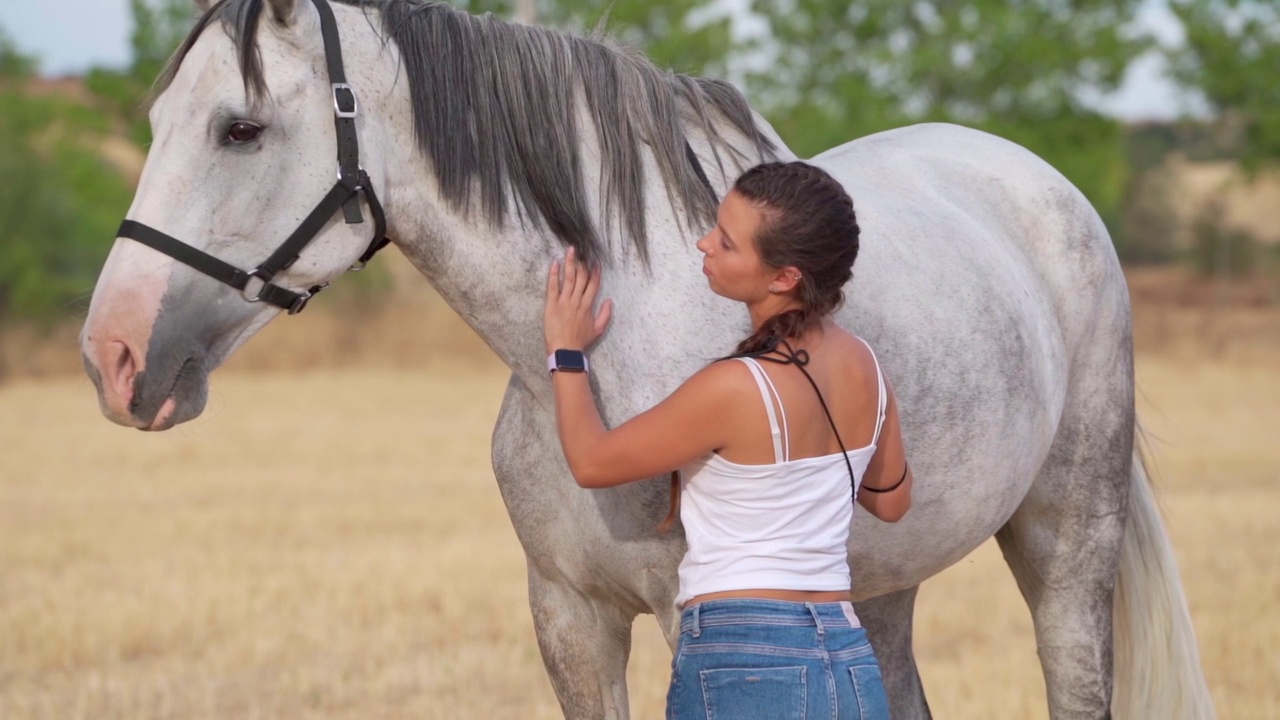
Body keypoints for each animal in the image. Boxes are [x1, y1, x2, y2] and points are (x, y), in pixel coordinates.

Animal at [74, 2, 1213, 712]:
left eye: (242, 128)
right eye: (159, 118)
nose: (113, 356)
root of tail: (1034, 177)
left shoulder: (689, 621)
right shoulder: (570, 619)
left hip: (1067, 545)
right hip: (879, 584)